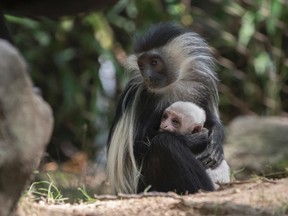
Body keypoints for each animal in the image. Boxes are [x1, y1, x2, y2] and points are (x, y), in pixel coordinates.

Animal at [107, 23, 224, 194]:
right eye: (141, 65)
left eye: (154, 62)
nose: (147, 76)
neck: (173, 86)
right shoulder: (142, 97)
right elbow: (135, 147)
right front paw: (192, 140)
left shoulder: (201, 86)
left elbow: (211, 119)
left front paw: (216, 141)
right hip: (146, 183)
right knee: (163, 144)